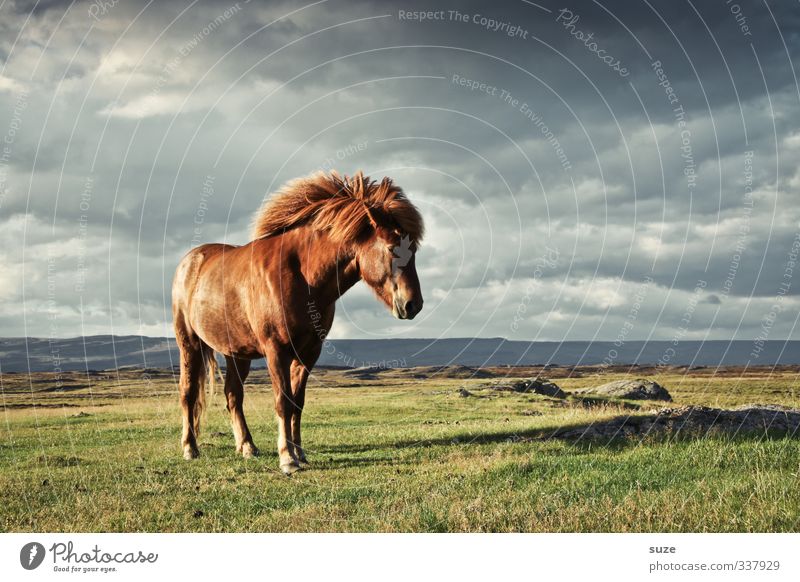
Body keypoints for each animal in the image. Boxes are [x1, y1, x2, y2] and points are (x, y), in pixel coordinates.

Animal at [170, 171, 424, 476]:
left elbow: (297, 403)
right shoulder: (276, 351)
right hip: (189, 343)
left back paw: (247, 447)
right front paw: (287, 459)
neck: (302, 276)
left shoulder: (308, 353)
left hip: (237, 354)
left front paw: (299, 453)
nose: (413, 304)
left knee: (233, 395)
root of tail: (189, 261)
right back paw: (190, 448)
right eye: (391, 249)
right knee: (188, 393)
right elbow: (282, 402)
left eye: (414, 250)